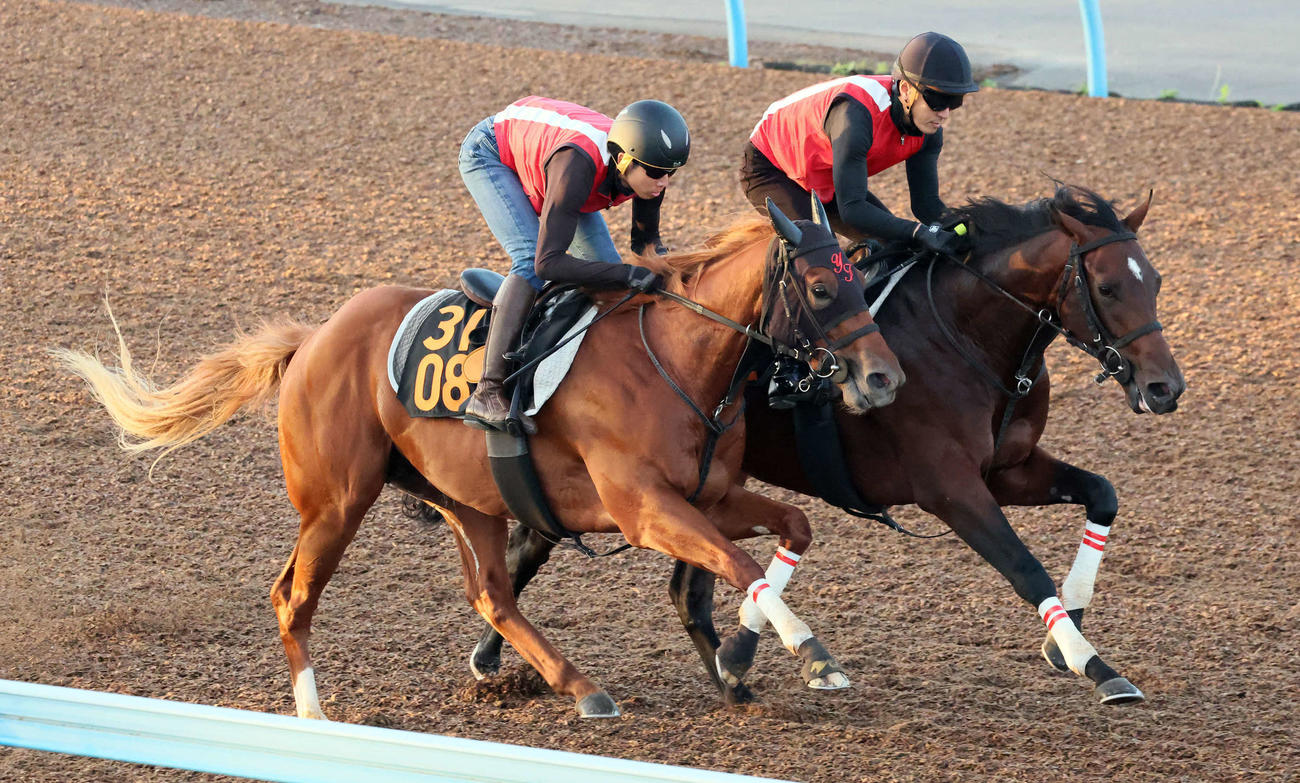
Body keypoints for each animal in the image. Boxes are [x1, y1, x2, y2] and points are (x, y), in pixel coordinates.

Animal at [56, 196, 907, 719]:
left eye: (857, 274)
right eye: (824, 286)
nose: (883, 377)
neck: (674, 359)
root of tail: (313, 339)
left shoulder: (712, 493)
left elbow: (791, 529)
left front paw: (741, 647)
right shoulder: (645, 508)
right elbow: (738, 560)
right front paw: (807, 650)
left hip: (469, 498)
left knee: (491, 594)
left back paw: (580, 686)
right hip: (337, 500)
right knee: (292, 597)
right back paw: (313, 712)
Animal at [472, 184, 1185, 706]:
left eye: (1154, 281)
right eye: (1109, 287)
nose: (1165, 387)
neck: (965, 340)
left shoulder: (1006, 470)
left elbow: (1103, 494)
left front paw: (1070, 629)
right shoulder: (952, 489)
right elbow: (1023, 567)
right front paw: (1097, 667)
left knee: (658, 578)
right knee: (541, 537)